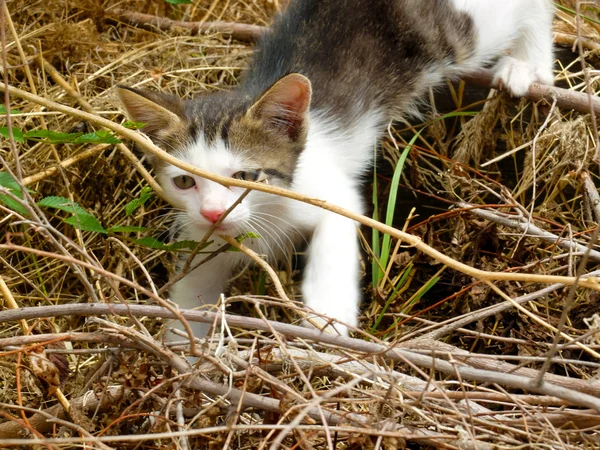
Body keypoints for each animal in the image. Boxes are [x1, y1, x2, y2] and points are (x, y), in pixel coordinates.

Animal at [117, 0, 552, 338]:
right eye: (184, 182)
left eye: (244, 177)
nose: (212, 213)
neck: (267, 214)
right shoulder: (205, 239)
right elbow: (193, 290)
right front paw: (183, 356)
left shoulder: (331, 192)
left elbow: (335, 234)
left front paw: (327, 314)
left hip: (464, 29)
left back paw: (528, 65)